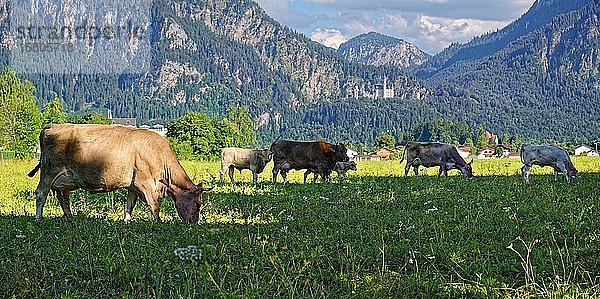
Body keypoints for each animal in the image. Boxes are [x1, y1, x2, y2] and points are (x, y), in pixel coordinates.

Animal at [29, 124, 216, 225]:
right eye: (198, 204)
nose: (193, 223)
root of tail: (52, 125)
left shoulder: (133, 185)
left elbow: (130, 204)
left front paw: (126, 221)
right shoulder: (145, 183)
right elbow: (154, 206)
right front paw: (159, 222)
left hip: (64, 180)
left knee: (63, 198)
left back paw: (69, 218)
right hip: (48, 172)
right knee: (41, 194)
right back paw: (38, 219)